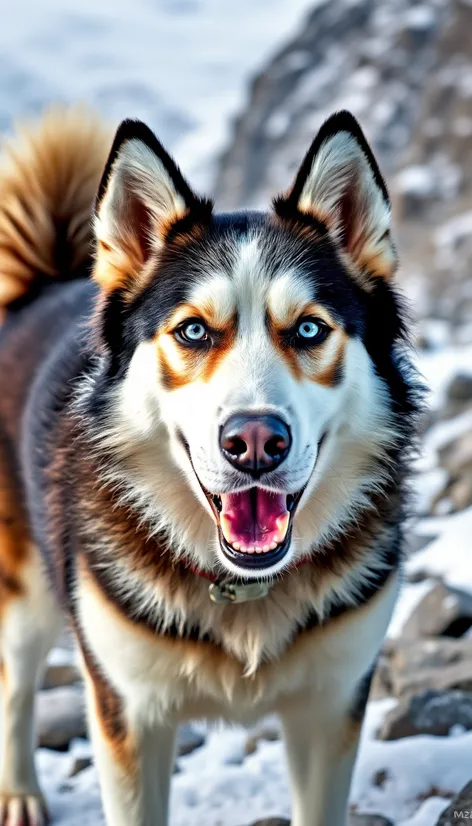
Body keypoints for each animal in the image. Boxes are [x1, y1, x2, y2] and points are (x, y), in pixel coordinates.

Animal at [0, 104, 418, 824]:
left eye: (309, 329)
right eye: (194, 330)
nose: (254, 440)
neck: (242, 591)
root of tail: (42, 287)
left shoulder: (331, 707)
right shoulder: (129, 716)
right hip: (25, 595)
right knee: (16, 686)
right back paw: (20, 792)